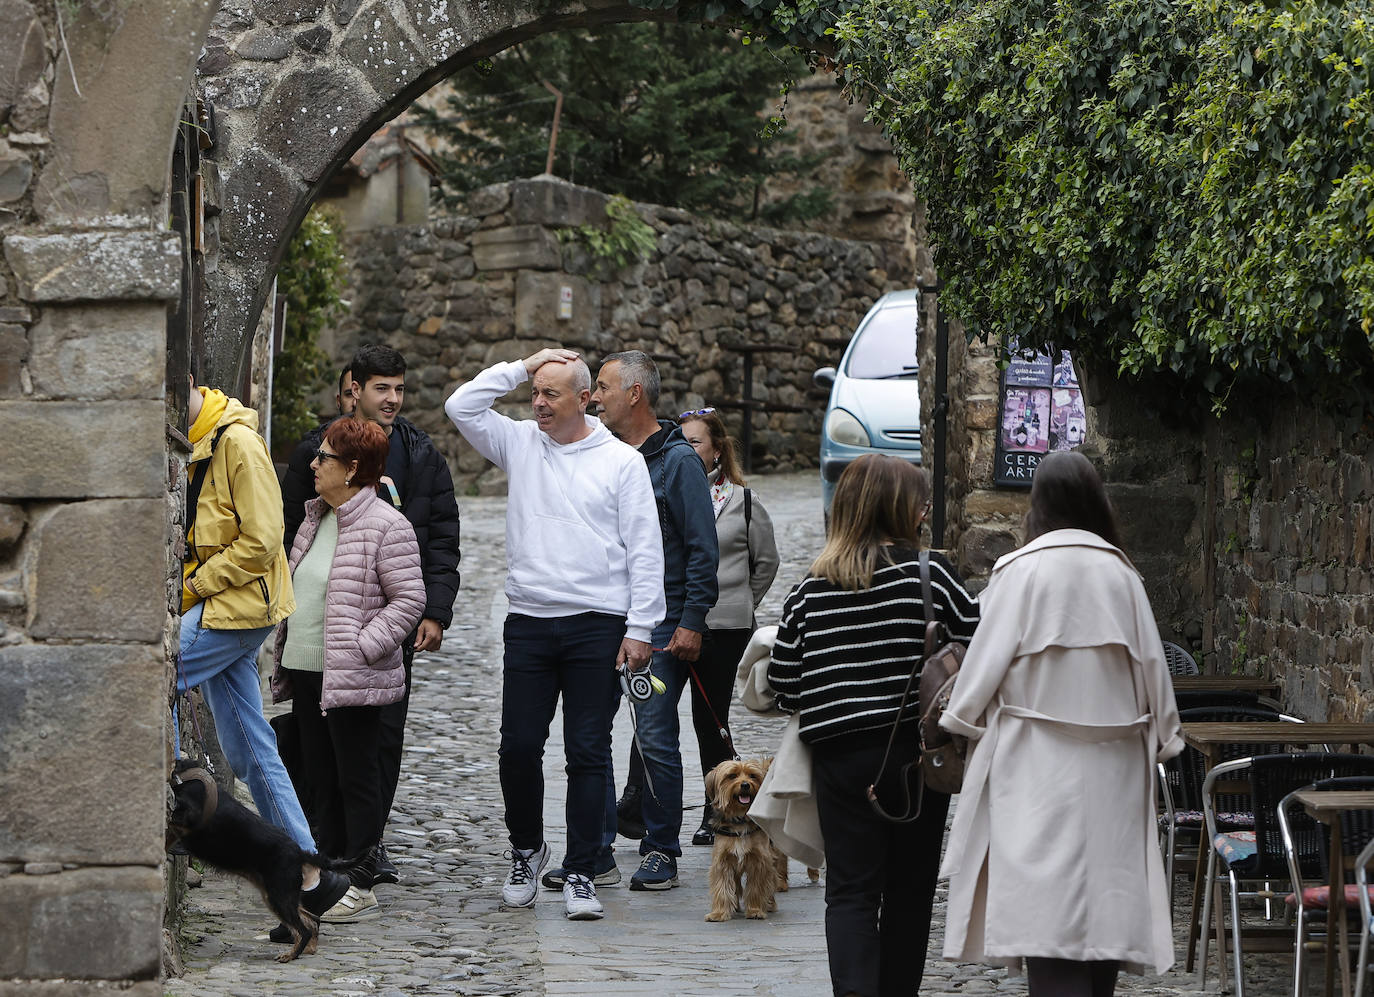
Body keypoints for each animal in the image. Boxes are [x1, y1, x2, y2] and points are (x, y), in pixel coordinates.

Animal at [166, 763, 340, 966]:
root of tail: (299, 853)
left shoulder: (186, 816)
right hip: (277, 895)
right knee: (310, 920)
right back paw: (308, 949)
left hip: (279, 895)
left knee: (302, 930)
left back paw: (290, 955)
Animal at [703, 763, 780, 922]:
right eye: (732, 776)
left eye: (752, 776)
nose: (745, 785)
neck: (740, 819)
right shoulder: (723, 861)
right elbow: (722, 887)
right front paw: (719, 913)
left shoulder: (760, 861)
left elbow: (757, 887)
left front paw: (755, 910)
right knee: (736, 883)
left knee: (772, 879)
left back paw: (770, 903)